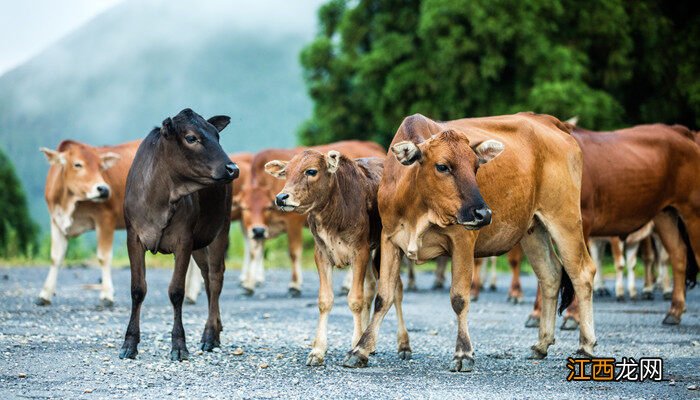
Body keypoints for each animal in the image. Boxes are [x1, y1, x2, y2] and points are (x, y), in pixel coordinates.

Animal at [37, 139, 141, 304]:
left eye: (101, 167)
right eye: (77, 164)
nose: (103, 189)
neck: (69, 202)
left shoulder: (106, 218)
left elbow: (103, 257)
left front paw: (106, 295)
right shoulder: (56, 220)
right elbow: (55, 257)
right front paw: (45, 294)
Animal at [239, 140, 382, 294]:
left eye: (267, 206)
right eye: (244, 207)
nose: (281, 198)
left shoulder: (293, 223)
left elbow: (293, 252)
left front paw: (294, 284)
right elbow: (254, 252)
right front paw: (249, 284)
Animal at [344, 111, 596, 370]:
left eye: (476, 167)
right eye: (442, 166)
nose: (483, 214)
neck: (419, 207)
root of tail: (551, 122)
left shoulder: (462, 240)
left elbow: (459, 298)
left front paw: (463, 353)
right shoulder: (389, 240)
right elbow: (383, 297)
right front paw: (361, 349)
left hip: (564, 219)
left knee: (582, 273)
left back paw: (586, 345)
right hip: (534, 229)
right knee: (550, 275)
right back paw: (542, 344)